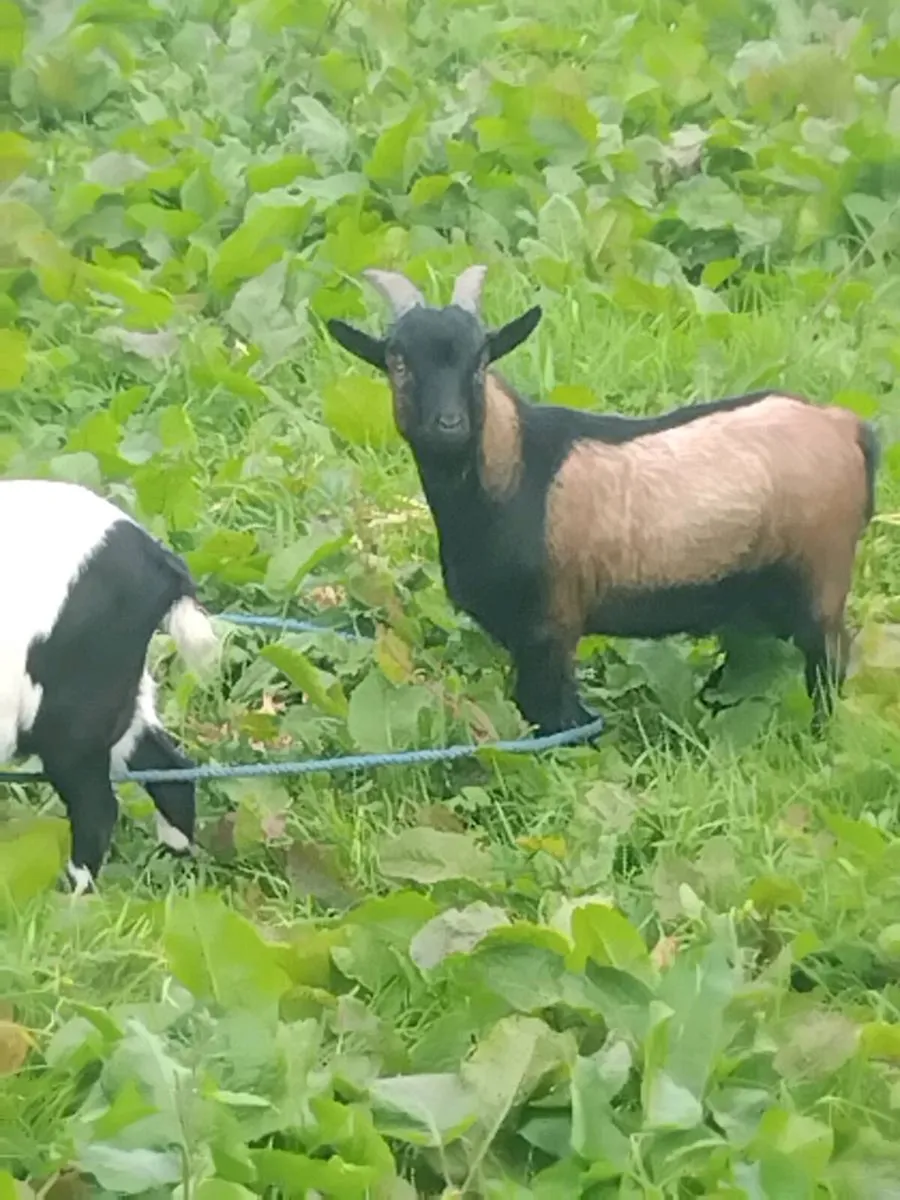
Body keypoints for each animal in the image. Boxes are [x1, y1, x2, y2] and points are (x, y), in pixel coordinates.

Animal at [0, 478, 219, 894]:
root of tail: (156, 557)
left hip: (72, 713)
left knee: (98, 808)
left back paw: (75, 900)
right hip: (121, 699)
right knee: (170, 769)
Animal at [326, 265, 879, 737]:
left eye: (480, 361)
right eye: (398, 362)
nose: (449, 425)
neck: (517, 471)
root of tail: (846, 427)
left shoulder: (552, 625)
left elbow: (556, 717)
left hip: (820, 573)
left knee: (829, 662)